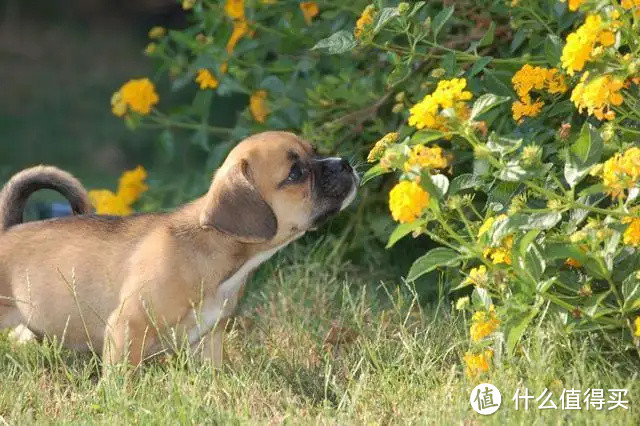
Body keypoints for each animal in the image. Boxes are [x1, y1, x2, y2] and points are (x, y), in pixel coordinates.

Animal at [0, 131, 358, 372]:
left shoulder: (209, 339)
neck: (213, 246)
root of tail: (8, 230)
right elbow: (121, 380)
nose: (345, 163)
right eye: (295, 173)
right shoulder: (127, 326)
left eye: (316, 151)